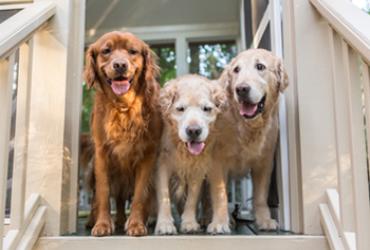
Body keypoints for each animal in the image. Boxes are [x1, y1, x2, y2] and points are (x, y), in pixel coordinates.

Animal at [85, 31, 163, 236]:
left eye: (132, 51)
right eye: (106, 51)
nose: (120, 65)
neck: (123, 106)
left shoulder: (148, 155)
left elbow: (139, 195)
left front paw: (136, 224)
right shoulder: (101, 154)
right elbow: (103, 193)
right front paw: (102, 224)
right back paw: (95, 220)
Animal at [155, 74, 227, 234]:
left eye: (206, 109)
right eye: (180, 109)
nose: (194, 131)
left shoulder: (197, 168)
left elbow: (192, 199)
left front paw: (189, 222)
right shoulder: (162, 164)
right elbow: (164, 195)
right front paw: (164, 224)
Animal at [207, 48, 288, 234]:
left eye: (260, 66)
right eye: (236, 70)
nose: (241, 89)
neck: (246, 126)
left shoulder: (265, 162)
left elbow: (260, 196)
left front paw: (264, 220)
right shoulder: (216, 161)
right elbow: (220, 194)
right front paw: (219, 222)